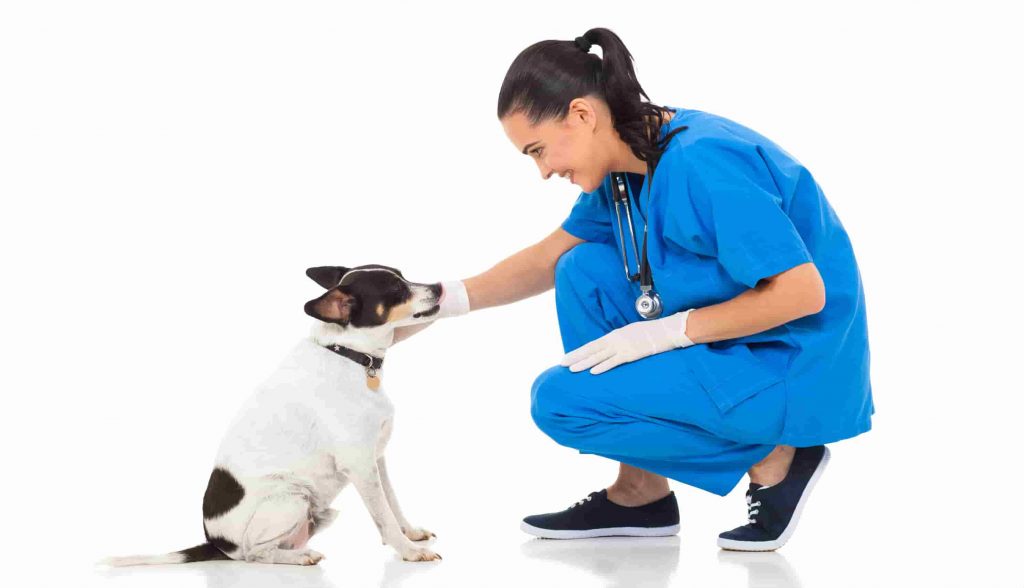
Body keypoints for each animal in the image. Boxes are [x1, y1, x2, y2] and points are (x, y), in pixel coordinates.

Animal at [98, 266, 444, 565]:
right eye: (396, 289)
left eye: (402, 275)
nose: (440, 286)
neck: (347, 354)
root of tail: (218, 545)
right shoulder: (360, 464)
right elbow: (382, 516)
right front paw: (409, 551)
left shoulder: (377, 459)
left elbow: (392, 503)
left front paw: (411, 534)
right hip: (293, 497)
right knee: (256, 554)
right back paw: (300, 557)